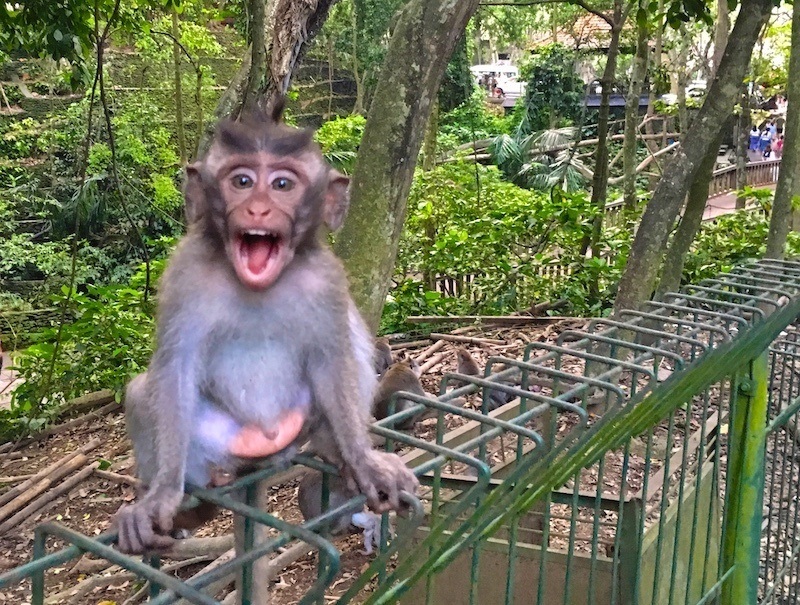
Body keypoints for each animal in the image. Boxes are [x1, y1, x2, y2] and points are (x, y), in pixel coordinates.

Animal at [118, 101, 422, 556]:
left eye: (282, 184)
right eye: (242, 181)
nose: (259, 209)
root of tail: (262, 454)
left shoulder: (326, 278)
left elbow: (333, 360)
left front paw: (361, 459)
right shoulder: (184, 274)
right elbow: (175, 369)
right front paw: (163, 495)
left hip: (300, 427)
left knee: (353, 349)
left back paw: (334, 451)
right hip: (218, 445)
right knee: (142, 394)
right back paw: (194, 508)